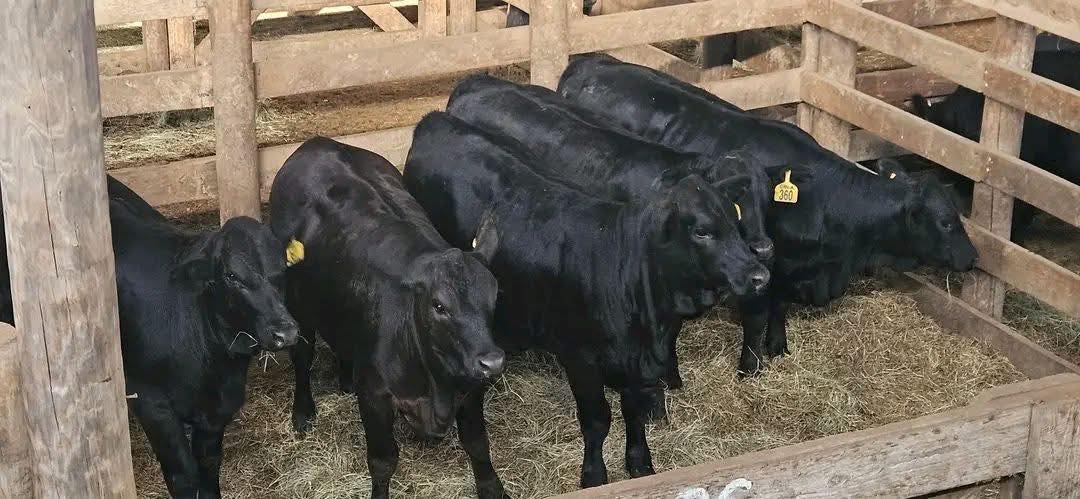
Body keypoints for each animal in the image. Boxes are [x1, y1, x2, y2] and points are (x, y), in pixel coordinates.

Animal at [268, 137, 508, 499]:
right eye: (439, 306)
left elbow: (478, 444)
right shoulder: (375, 398)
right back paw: (303, 412)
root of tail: (315, 144)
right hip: (297, 305)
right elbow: (383, 461)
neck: (436, 383)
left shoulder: (471, 387)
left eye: (494, 296)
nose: (492, 361)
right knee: (302, 355)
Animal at [404, 112, 767, 488]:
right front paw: (594, 474)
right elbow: (597, 421)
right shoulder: (581, 358)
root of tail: (435, 118)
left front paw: (640, 464)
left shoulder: (636, 362)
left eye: (735, 221)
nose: (759, 275)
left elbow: (634, 412)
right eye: (701, 231)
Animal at [558, 54, 979, 377]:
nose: (973, 257)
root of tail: (588, 63)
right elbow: (756, 319)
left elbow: (779, 311)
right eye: (946, 222)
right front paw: (750, 368)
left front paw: (779, 348)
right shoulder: (756, 271)